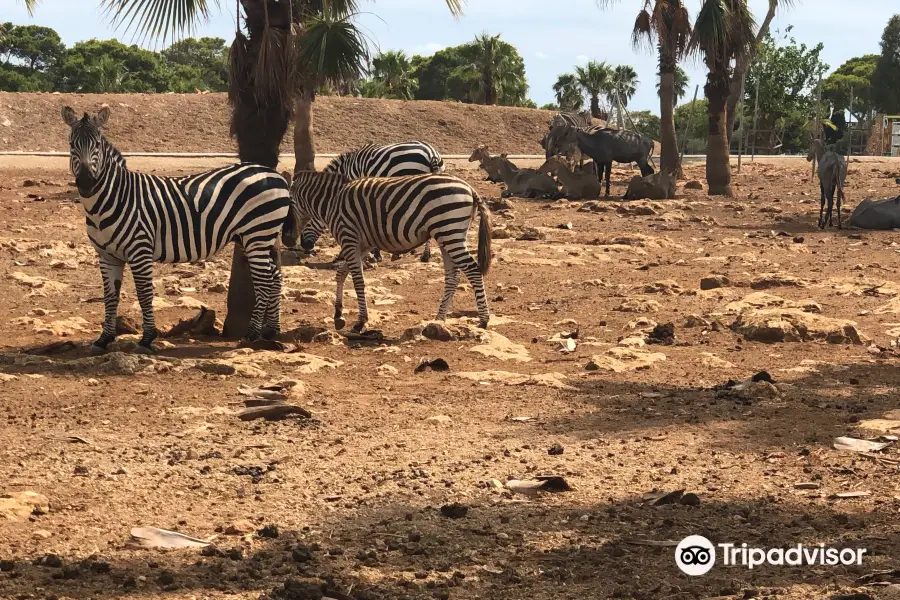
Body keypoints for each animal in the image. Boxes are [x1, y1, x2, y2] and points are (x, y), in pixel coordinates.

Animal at [61, 106, 294, 352]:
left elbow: (144, 294)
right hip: (254, 236)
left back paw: (251, 334)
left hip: (257, 233)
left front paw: (147, 338)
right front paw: (104, 339)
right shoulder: (107, 255)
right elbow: (110, 296)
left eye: (96, 144)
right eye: (72, 144)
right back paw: (270, 330)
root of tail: (274, 174)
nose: (86, 182)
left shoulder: (140, 250)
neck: (113, 198)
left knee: (264, 281)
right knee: (275, 276)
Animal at [292, 171, 492, 332]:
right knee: (453, 276)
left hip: (449, 230)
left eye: (290, 203)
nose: (299, 243)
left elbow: (357, 281)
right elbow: (341, 273)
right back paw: (439, 319)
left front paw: (360, 322)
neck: (332, 201)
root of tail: (470, 188)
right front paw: (338, 314)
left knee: (473, 270)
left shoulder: (349, 238)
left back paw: (483, 320)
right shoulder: (361, 245)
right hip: (446, 235)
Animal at [300, 142, 444, 264]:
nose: (303, 246)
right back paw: (425, 255)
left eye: (307, 219)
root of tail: (431, 153)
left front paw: (371, 255)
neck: (346, 171)